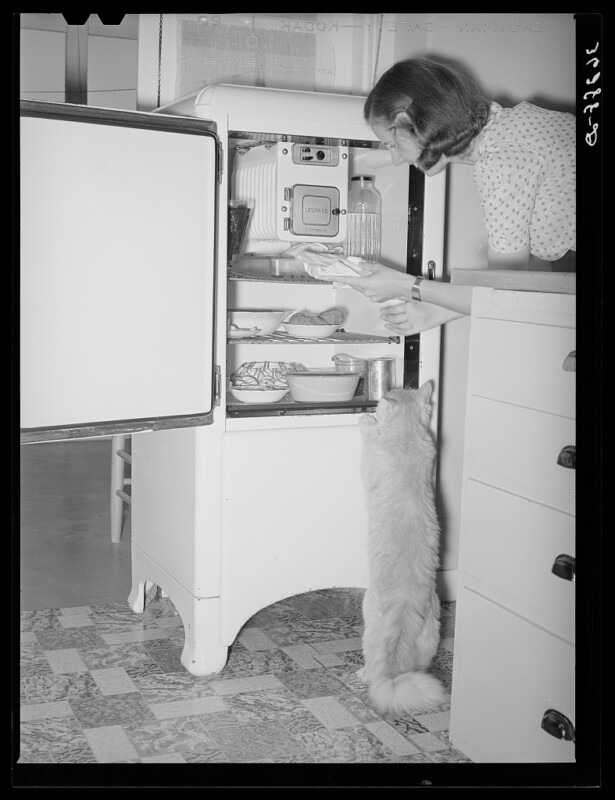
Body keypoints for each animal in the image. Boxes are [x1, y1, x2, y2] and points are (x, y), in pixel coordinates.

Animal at [356, 382, 448, 712]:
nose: (371, 409)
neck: (407, 435)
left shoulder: (369, 466)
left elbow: (369, 437)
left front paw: (366, 421)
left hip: (367, 614)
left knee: (372, 669)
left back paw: (363, 674)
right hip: (433, 628)